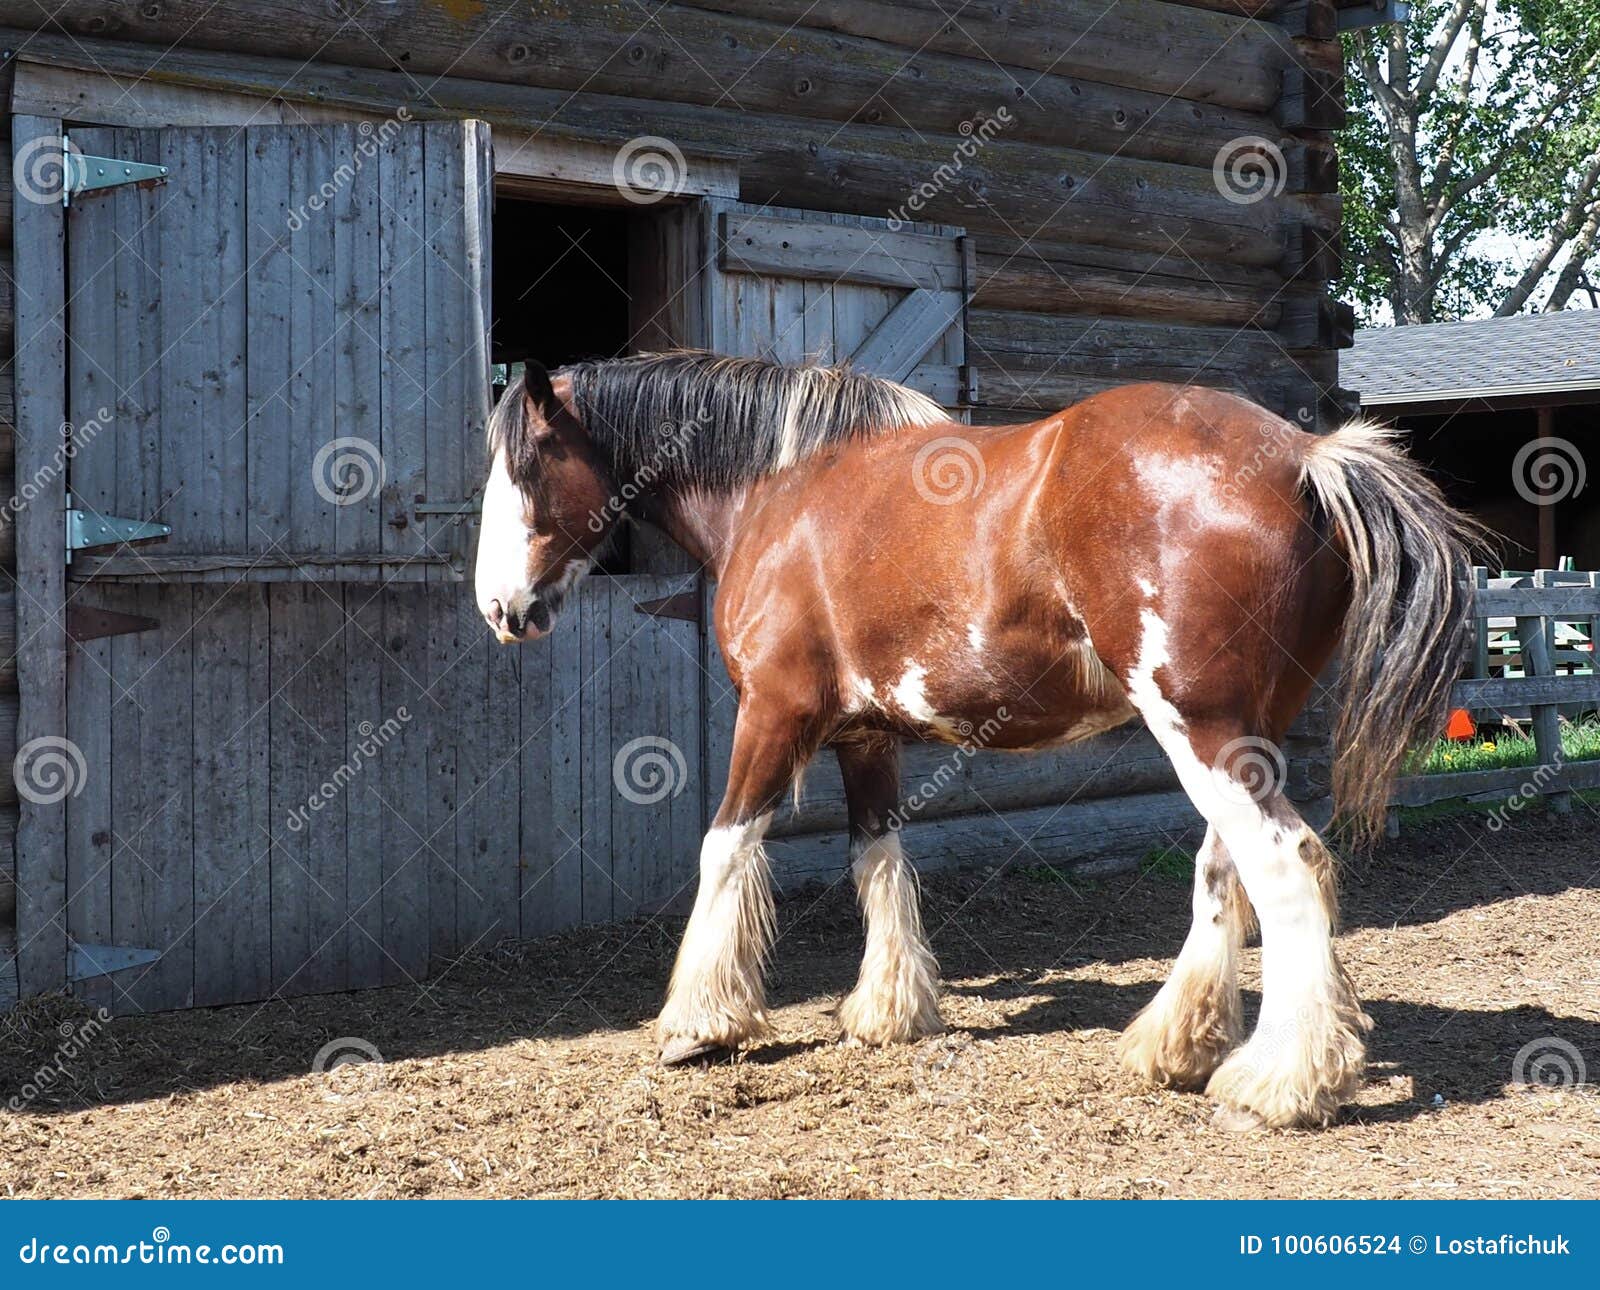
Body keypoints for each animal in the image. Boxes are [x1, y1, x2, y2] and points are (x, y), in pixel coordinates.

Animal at [470, 353, 1472, 1133]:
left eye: (526, 463)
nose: (499, 609)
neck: (779, 489)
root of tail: (1305, 458)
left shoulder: (775, 712)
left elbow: (725, 846)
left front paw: (696, 1024)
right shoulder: (865, 734)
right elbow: (877, 858)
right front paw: (889, 1011)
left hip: (1202, 726)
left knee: (1286, 867)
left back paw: (1280, 1082)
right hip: (1238, 729)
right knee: (1224, 869)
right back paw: (1179, 1046)